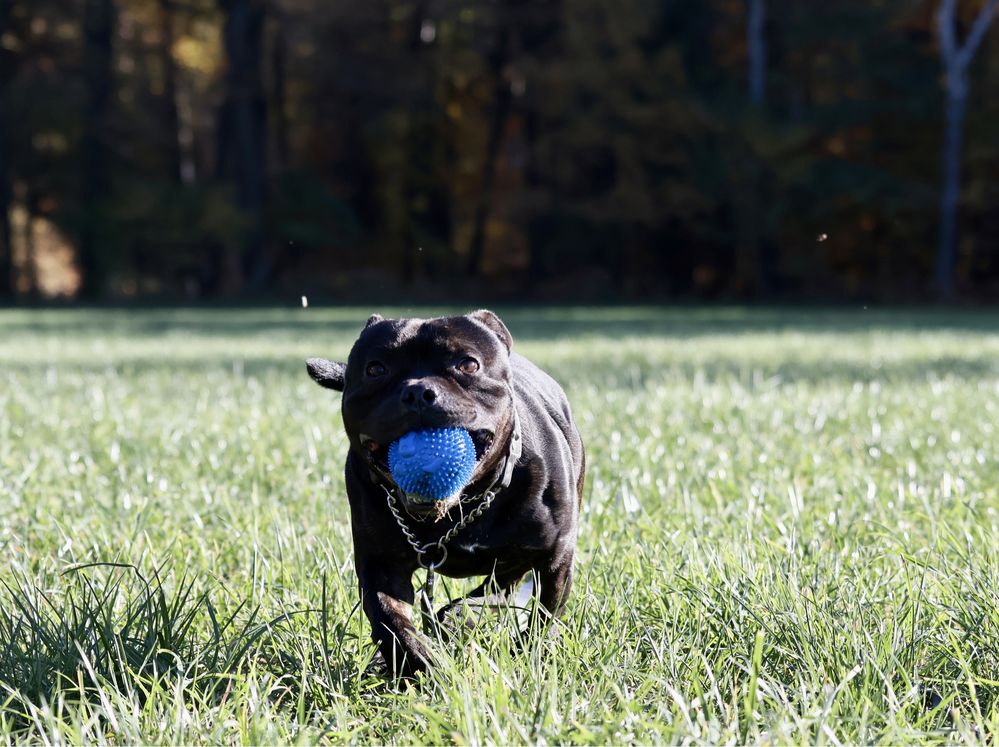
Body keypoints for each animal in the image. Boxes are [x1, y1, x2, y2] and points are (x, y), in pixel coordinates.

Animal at [304, 310, 584, 676]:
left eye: (468, 364)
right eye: (376, 369)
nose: (418, 391)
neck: (461, 509)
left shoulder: (554, 557)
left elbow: (543, 617)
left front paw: (527, 658)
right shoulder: (379, 564)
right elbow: (390, 620)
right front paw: (422, 664)